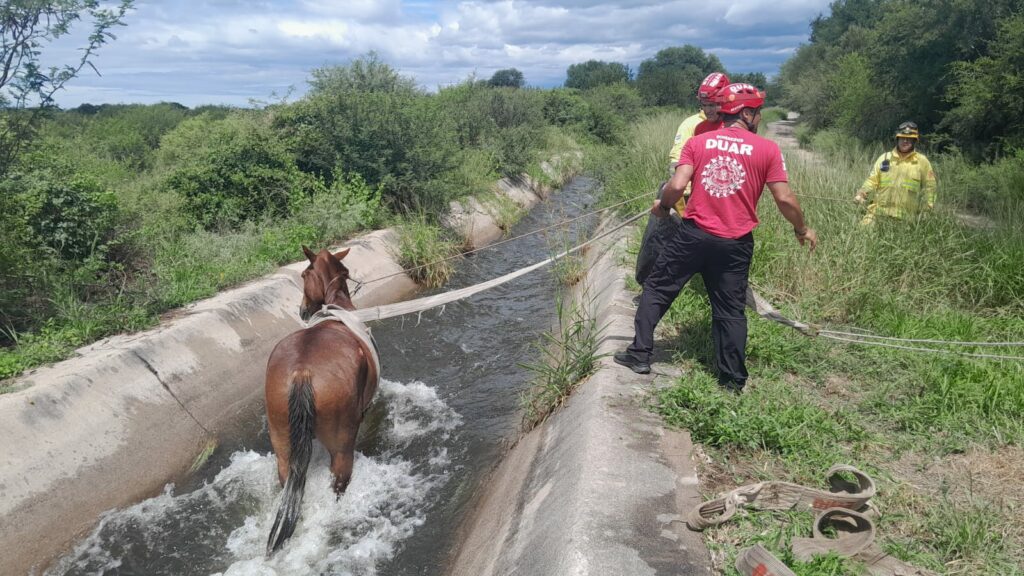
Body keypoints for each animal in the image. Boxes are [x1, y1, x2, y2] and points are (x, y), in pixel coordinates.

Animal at [264, 245, 380, 556]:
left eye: (304, 275)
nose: (303, 310)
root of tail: (302, 372)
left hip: (282, 444)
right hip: (341, 449)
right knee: (339, 482)